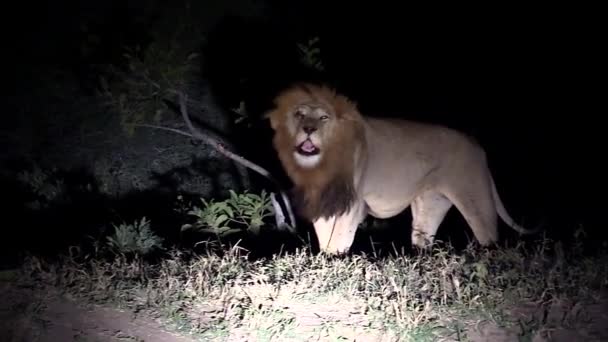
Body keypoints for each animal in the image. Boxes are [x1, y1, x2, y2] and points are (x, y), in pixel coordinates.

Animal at [264, 83, 536, 254]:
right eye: (299, 115)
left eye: (323, 118)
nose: (309, 129)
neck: (320, 166)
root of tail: (478, 146)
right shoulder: (322, 202)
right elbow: (324, 237)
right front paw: (325, 261)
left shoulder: (352, 203)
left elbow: (340, 237)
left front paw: (334, 262)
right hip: (429, 207)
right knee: (423, 241)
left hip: (476, 200)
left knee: (489, 238)